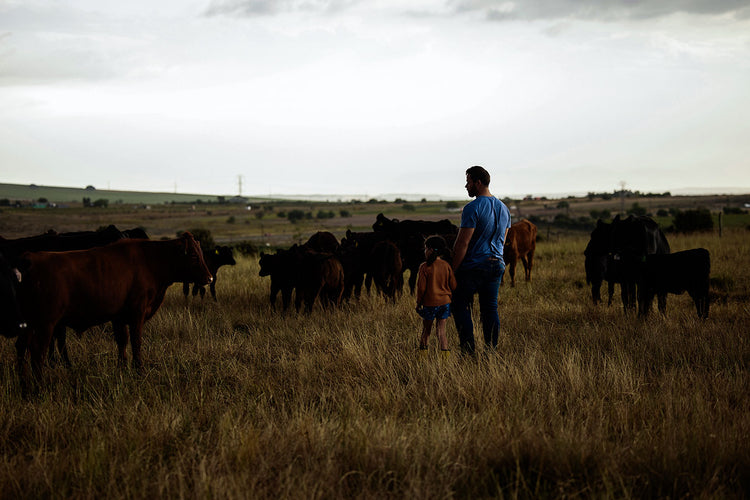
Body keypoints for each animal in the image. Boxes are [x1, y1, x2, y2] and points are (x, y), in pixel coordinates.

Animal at [15, 230, 214, 382]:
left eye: (202, 253)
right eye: (194, 255)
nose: (209, 278)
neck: (151, 260)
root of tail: (31, 258)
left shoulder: (119, 316)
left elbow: (122, 341)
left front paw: (122, 368)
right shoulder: (137, 312)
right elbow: (136, 341)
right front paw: (139, 370)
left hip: (28, 325)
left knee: (22, 348)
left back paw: (24, 384)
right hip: (45, 324)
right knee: (37, 351)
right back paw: (39, 386)